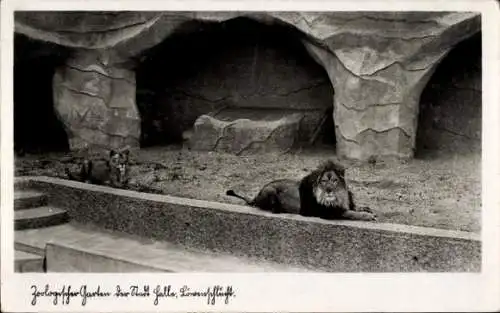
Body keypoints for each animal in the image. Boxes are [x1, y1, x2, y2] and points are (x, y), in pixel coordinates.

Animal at [226, 160, 376, 221]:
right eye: (323, 181)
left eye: (334, 180)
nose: (329, 190)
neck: (339, 196)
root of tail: (257, 194)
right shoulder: (328, 213)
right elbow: (351, 213)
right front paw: (368, 216)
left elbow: (354, 208)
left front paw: (366, 209)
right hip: (271, 190)